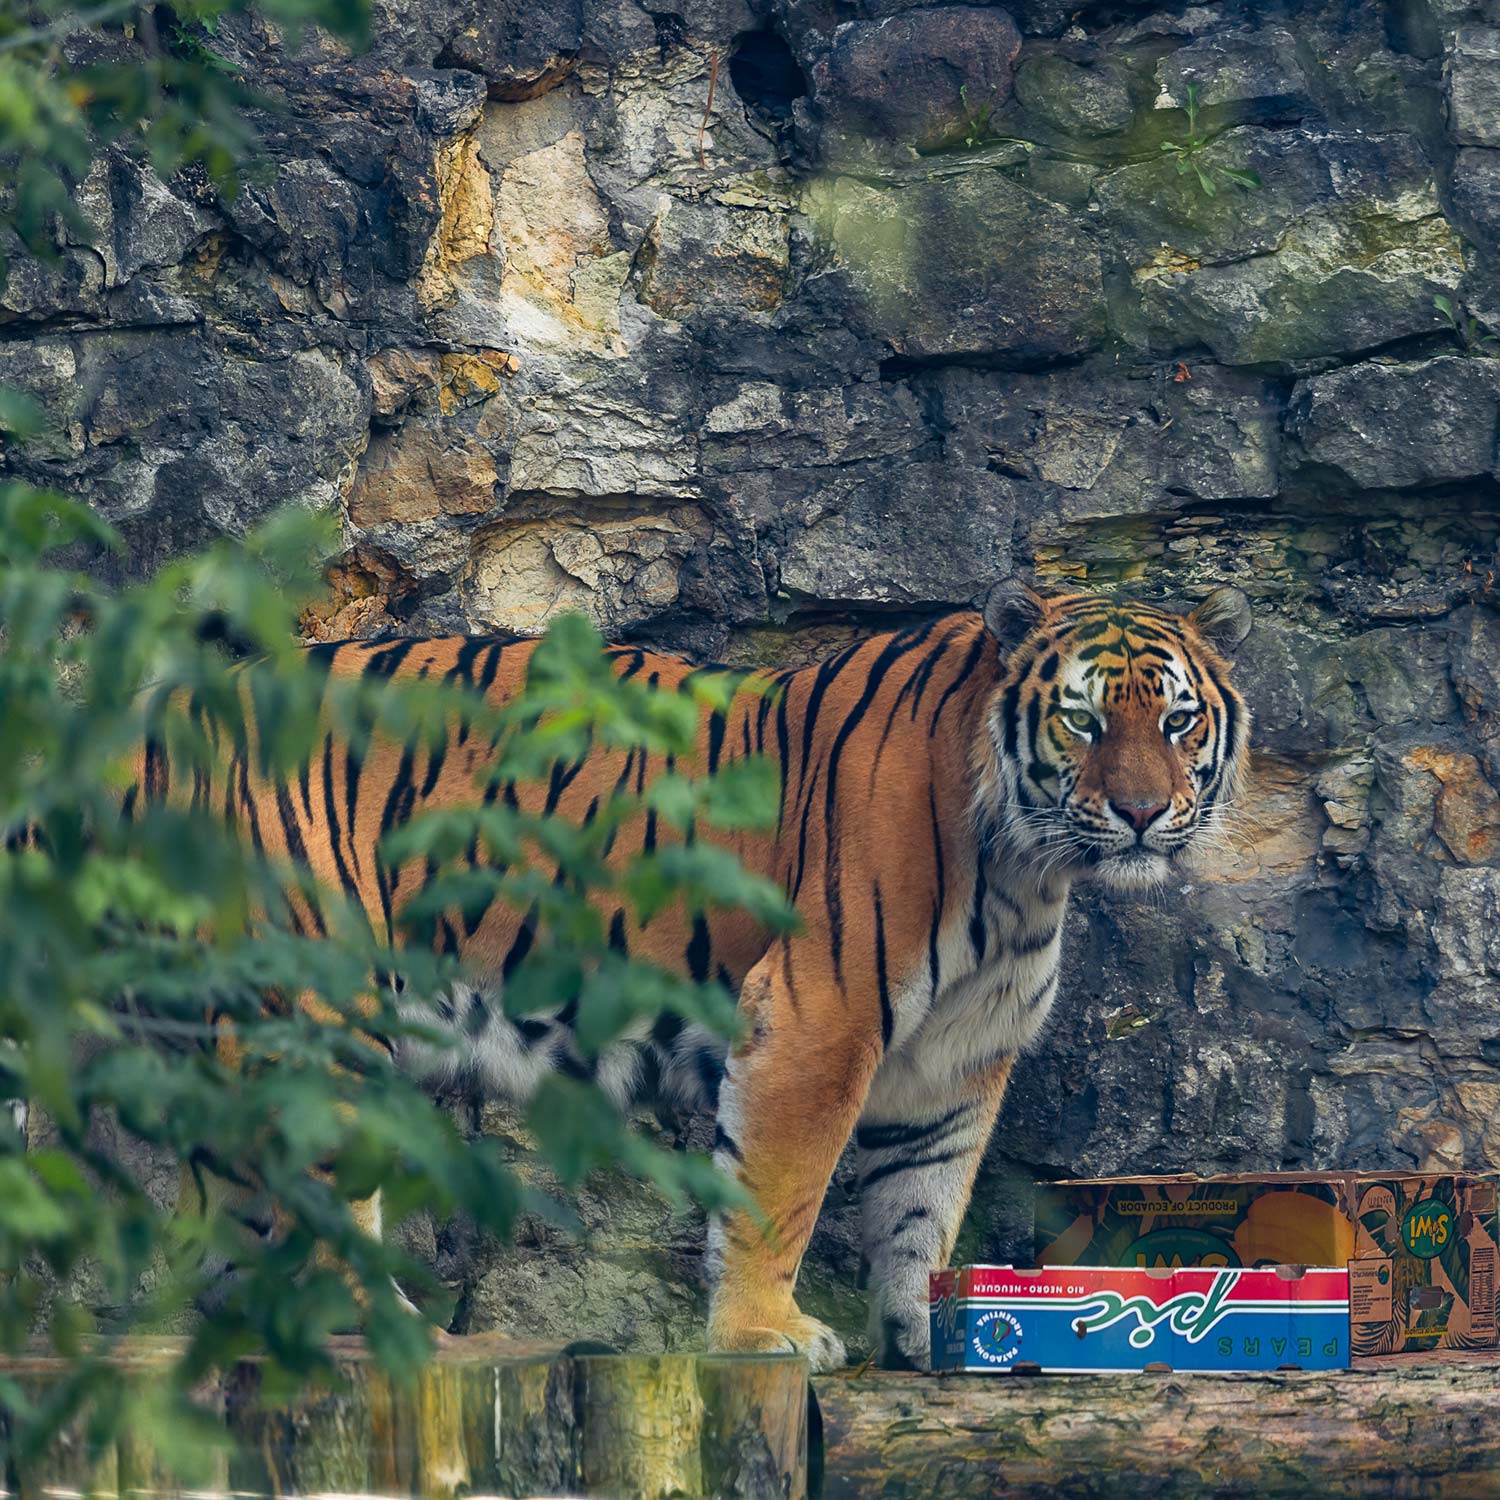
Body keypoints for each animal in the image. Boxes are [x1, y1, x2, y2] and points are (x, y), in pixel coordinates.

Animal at [126, 582, 1254, 1374]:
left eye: (1179, 722)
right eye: (1083, 721)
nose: (1143, 813)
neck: (1026, 871)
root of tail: (162, 725)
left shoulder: (956, 1061)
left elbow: (922, 1204)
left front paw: (932, 1336)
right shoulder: (817, 1019)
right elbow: (780, 1194)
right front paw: (766, 1334)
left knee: (227, 1214)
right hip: (317, 1006)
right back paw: (385, 1332)